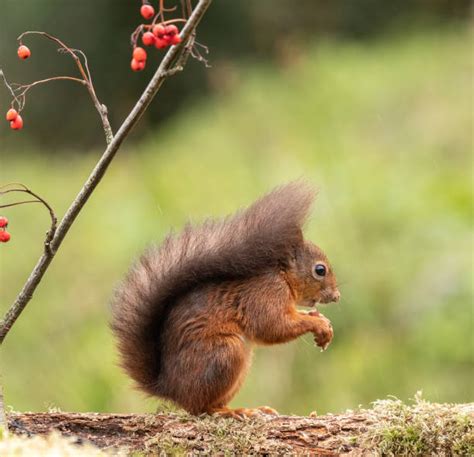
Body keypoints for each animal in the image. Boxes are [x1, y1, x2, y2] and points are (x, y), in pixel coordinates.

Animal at [111, 182, 340, 416]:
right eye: (320, 270)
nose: (336, 296)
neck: (282, 276)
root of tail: (170, 388)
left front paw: (322, 321)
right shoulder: (265, 294)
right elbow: (272, 326)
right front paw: (318, 323)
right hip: (224, 354)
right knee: (199, 407)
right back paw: (231, 411)